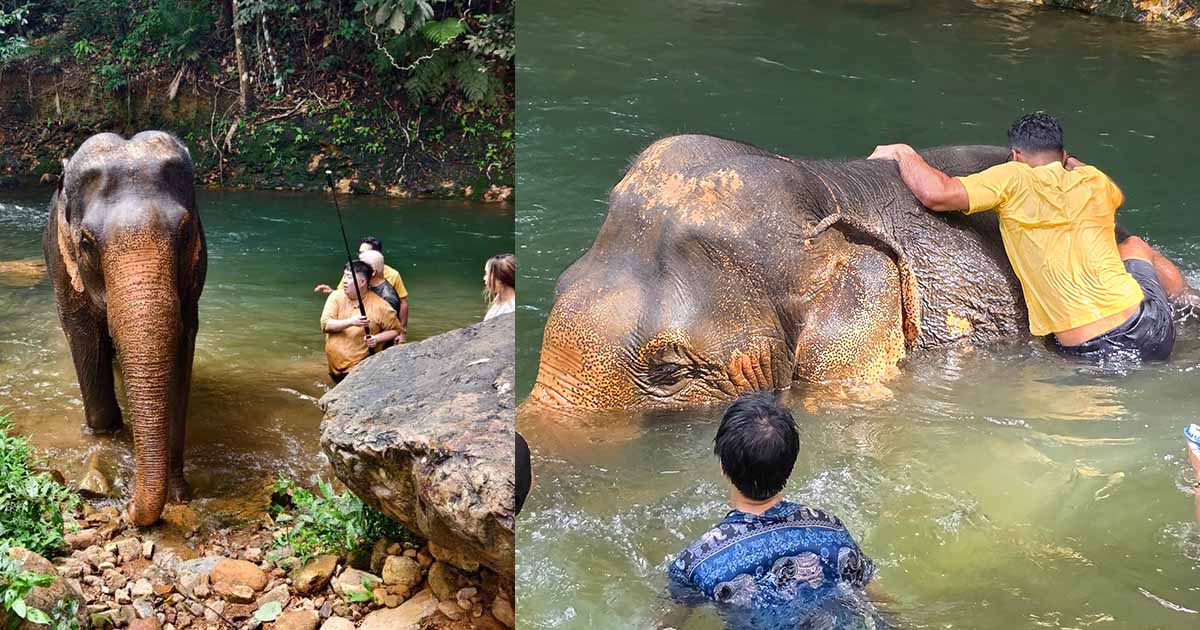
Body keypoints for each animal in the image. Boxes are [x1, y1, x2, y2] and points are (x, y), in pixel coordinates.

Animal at [42, 131, 206, 526]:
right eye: (86, 243)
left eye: (186, 234)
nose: (129, 508)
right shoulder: (63, 266)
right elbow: (84, 337)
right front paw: (109, 436)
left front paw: (179, 495)